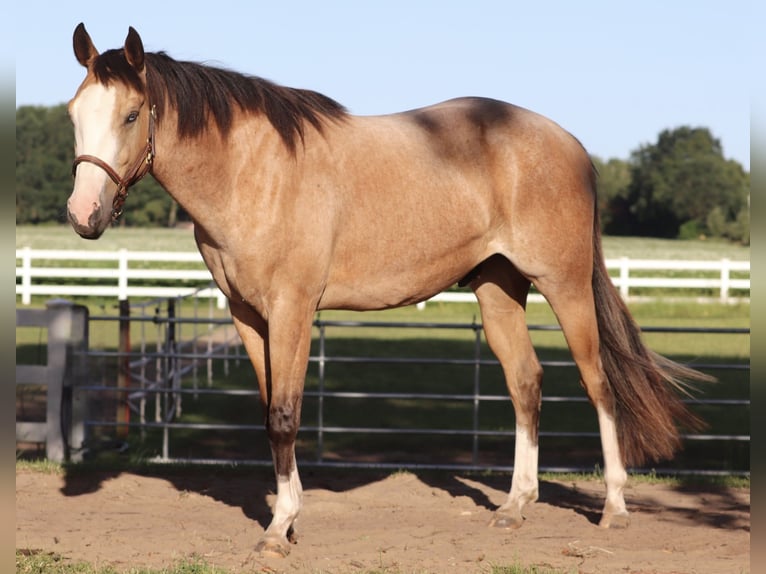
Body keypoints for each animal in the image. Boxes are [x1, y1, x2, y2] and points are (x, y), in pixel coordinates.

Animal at [67, 23, 709, 557]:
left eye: (131, 115)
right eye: (74, 113)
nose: (82, 214)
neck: (254, 171)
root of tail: (571, 143)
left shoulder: (293, 308)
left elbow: (285, 415)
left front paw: (278, 530)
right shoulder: (248, 315)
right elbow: (270, 412)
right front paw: (289, 519)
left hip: (566, 285)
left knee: (600, 386)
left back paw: (615, 508)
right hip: (497, 288)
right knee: (526, 384)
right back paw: (515, 505)